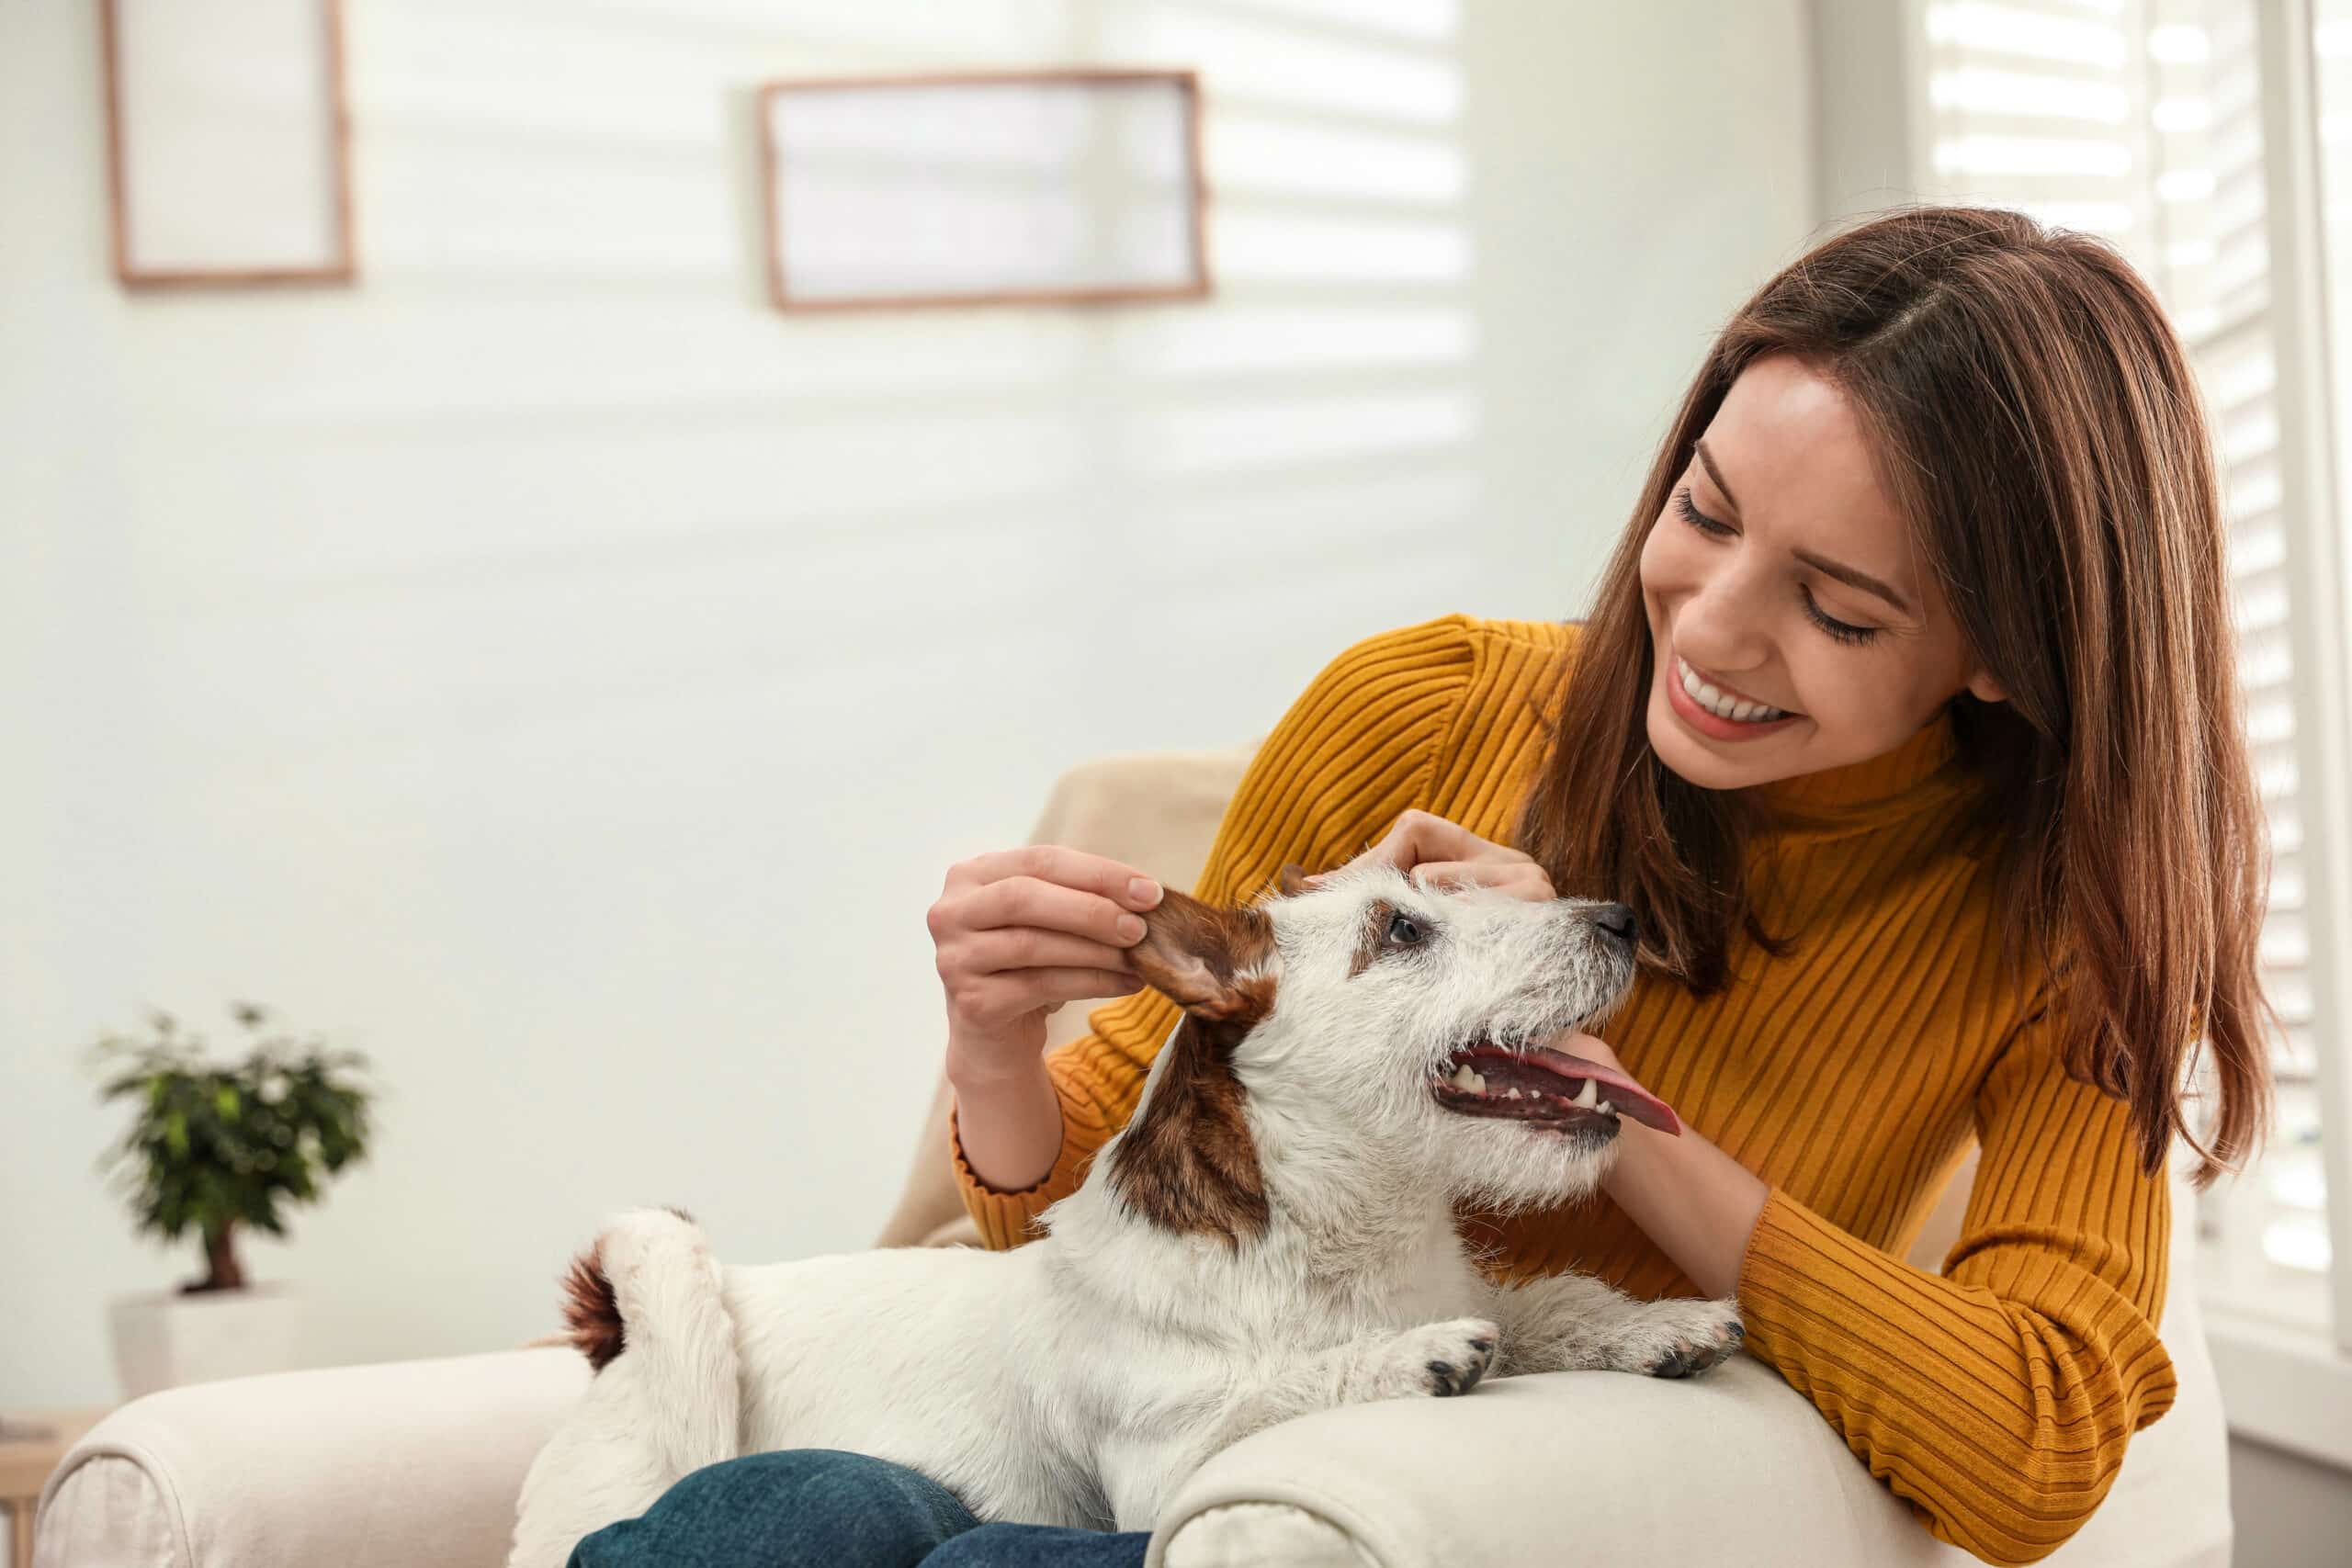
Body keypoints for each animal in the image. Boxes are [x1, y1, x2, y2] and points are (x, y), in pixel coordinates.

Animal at [510, 864, 1749, 1561]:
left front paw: (1655, 1323)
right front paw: (1411, 1358)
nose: (1620, 918)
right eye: (1401, 930)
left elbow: (1547, 1303)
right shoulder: (1165, 1470)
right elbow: (1283, 1387)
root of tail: (614, 1337)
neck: (1336, 1245)